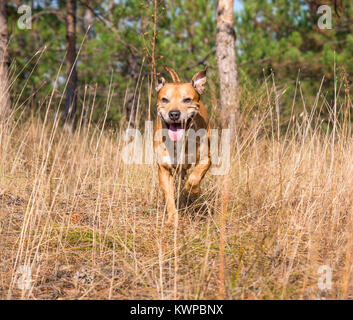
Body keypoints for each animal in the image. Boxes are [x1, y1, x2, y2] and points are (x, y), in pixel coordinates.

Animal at [153, 66, 209, 224]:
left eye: (187, 99)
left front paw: (192, 190)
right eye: (165, 99)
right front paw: (173, 218)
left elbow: (195, 177)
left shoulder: (206, 159)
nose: (174, 114)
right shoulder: (164, 168)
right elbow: (169, 196)